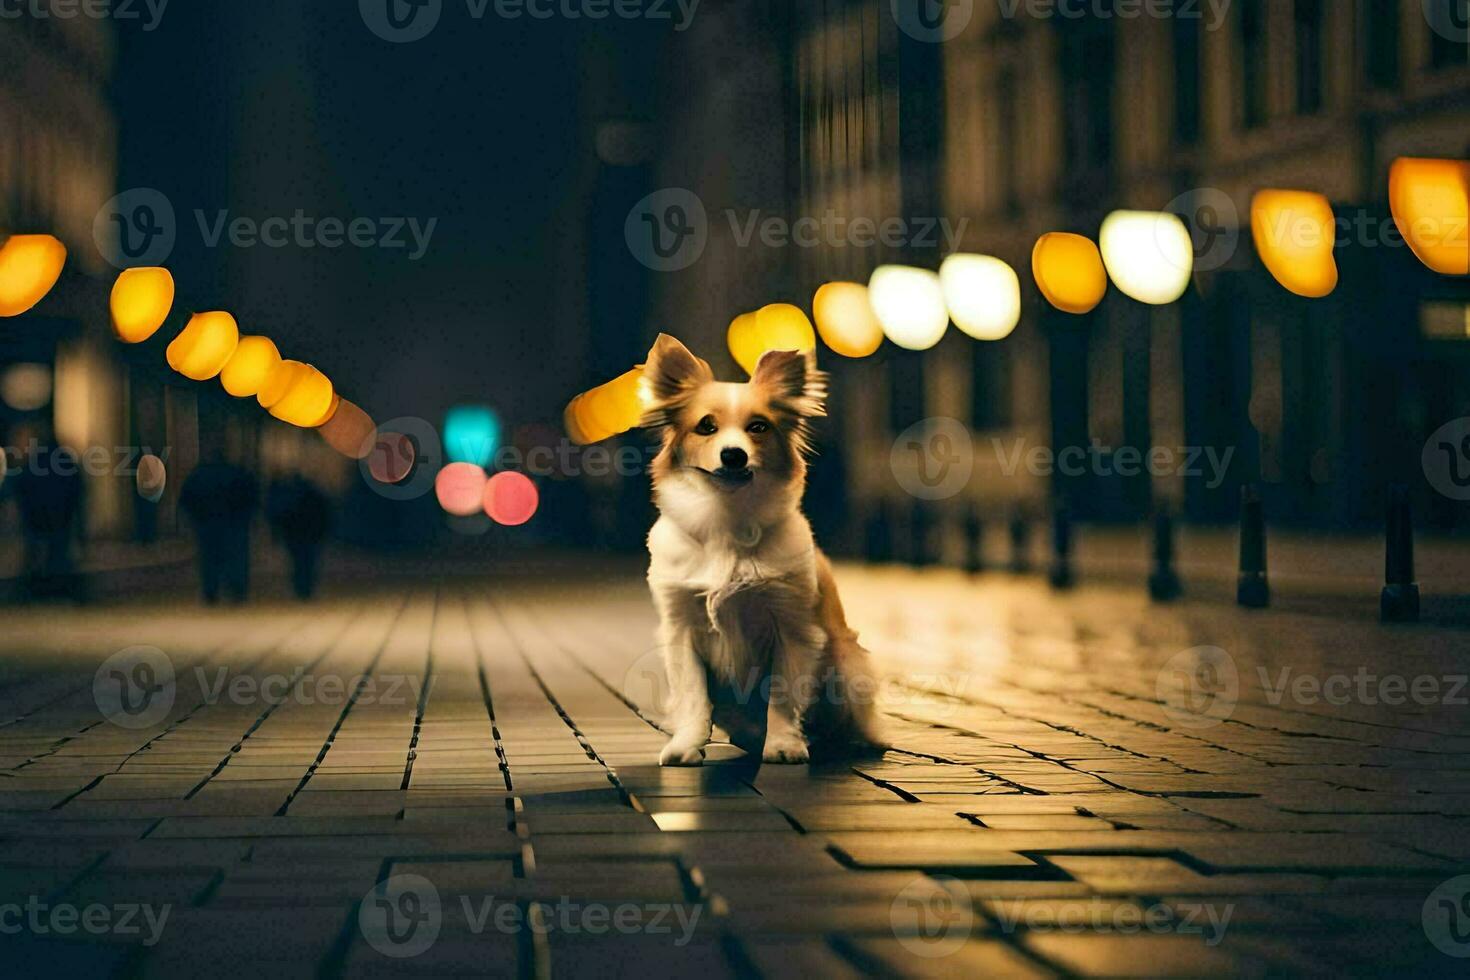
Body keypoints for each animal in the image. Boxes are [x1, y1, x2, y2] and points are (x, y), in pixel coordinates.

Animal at [643, 333, 882, 764]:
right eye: (706, 427)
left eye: (758, 427)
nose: (733, 454)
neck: (727, 517)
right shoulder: (681, 629)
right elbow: (693, 695)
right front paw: (686, 745)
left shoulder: (792, 629)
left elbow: (783, 697)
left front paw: (784, 744)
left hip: (846, 661)